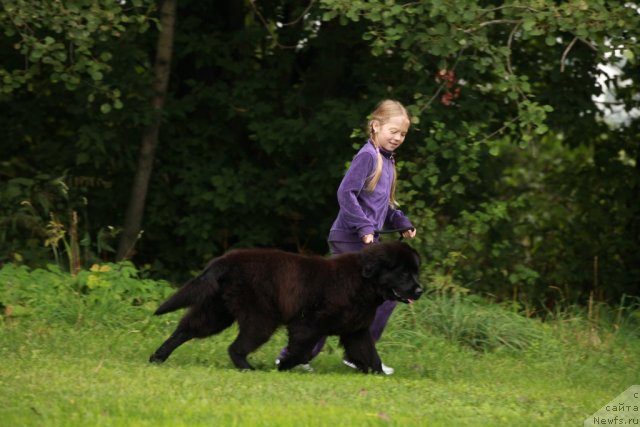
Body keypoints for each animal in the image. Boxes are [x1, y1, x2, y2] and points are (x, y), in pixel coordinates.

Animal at [148, 242, 422, 372]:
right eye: (404, 273)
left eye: (415, 272)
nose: (420, 290)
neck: (362, 282)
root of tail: (225, 260)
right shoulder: (307, 324)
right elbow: (300, 351)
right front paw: (283, 366)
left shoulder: (356, 330)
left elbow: (370, 354)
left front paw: (377, 373)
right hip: (260, 318)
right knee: (235, 347)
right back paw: (249, 369)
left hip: (217, 311)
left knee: (186, 329)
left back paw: (157, 356)